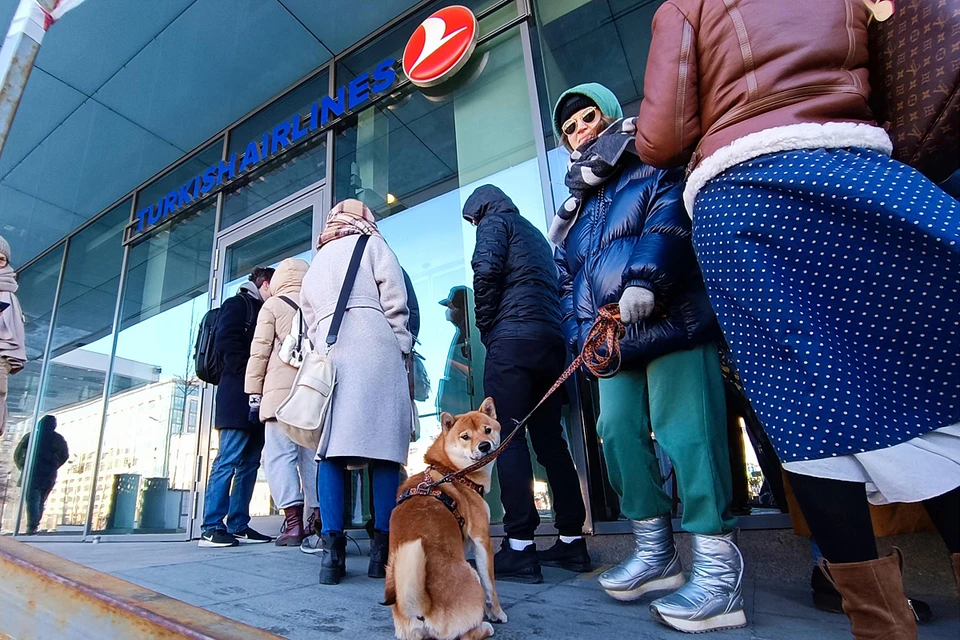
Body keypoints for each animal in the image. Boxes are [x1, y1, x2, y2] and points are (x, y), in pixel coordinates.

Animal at [382, 398, 506, 636]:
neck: (453, 472)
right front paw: (497, 612)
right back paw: (485, 626)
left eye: (487, 430)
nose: (484, 446)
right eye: (465, 436)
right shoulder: (482, 540)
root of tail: (423, 608)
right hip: (471, 574)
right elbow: (491, 585)